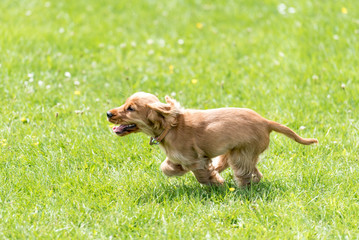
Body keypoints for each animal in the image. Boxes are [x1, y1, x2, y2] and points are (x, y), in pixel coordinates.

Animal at [107, 92, 318, 188]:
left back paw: (240, 188)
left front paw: (217, 184)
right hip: (236, 152)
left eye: (131, 109)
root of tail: (266, 122)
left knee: (246, 173)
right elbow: (166, 167)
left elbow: (202, 174)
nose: (108, 113)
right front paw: (177, 170)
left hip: (242, 153)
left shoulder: (195, 159)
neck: (170, 126)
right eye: (125, 104)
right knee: (253, 172)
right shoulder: (180, 157)